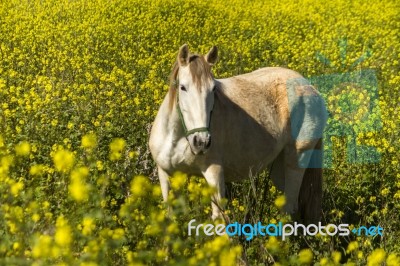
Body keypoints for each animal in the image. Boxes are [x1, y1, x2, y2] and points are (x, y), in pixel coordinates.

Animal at [148, 44, 326, 223]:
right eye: (183, 87)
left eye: (213, 88)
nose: (201, 142)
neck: (176, 138)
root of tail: (308, 85)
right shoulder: (166, 175)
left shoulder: (214, 172)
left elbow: (219, 218)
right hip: (279, 166)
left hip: (296, 159)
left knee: (289, 207)